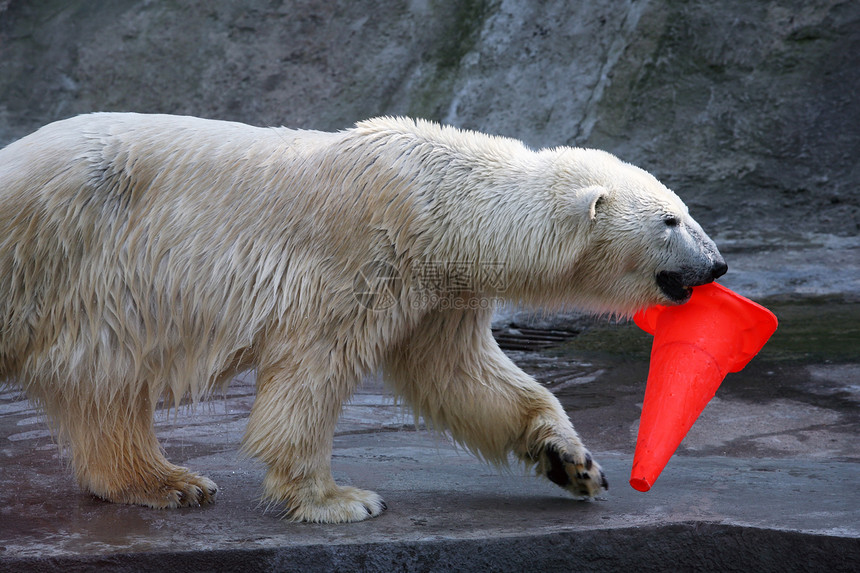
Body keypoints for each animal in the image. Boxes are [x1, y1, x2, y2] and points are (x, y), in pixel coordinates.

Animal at [0, 113, 724, 524]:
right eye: (671, 220)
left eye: (686, 209)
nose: (717, 264)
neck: (436, 196)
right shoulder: (364, 256)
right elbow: (312, 372)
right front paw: (338, 499)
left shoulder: (441, 288)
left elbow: (462, 374)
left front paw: (573, 462)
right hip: (51, 247)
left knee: (106, 385)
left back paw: (166, 482)